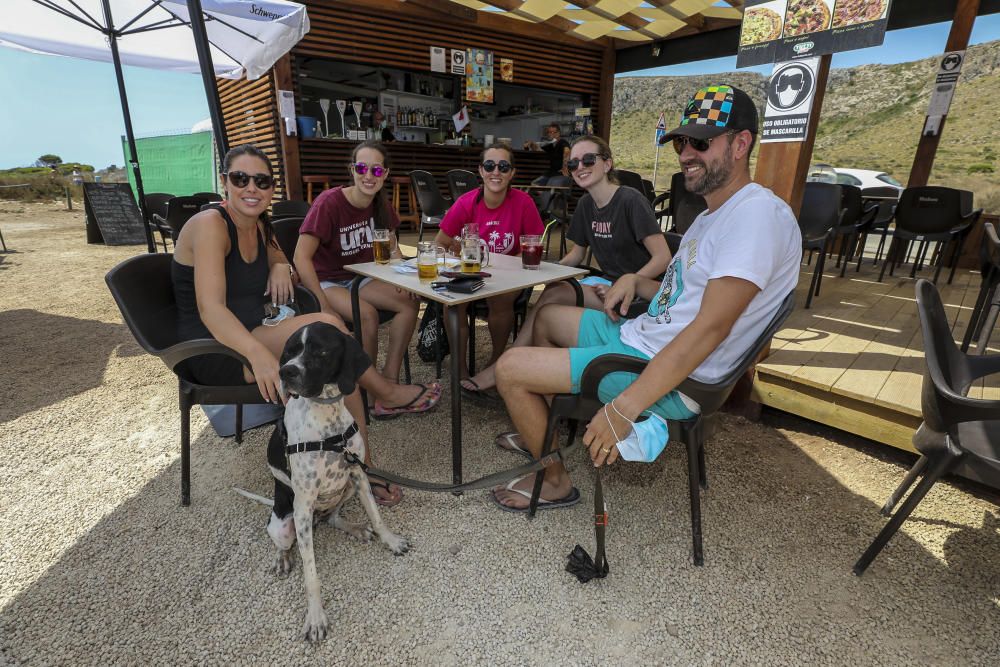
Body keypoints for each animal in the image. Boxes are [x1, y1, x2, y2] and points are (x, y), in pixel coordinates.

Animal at [266, 322, 410, 640]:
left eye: (320, 351)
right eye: (289, 353)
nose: (285, 372)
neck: (327, 421)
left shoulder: (359, 475)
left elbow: (377, 516)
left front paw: (391, 540)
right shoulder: (303, 505)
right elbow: (311, 574)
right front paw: (315, 618)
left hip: (346, 491)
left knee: (333, 517)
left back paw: (355, 528)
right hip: (285, 523)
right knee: (283, 542)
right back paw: (282, 558)